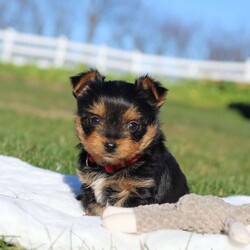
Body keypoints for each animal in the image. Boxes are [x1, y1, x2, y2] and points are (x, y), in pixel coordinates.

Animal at [69, 68, 188, 215]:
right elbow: (95, 207)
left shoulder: (139, 190)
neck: (110, 167)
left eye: (133, 125)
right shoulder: (90, 186)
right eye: (95, 119)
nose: (110, 145)